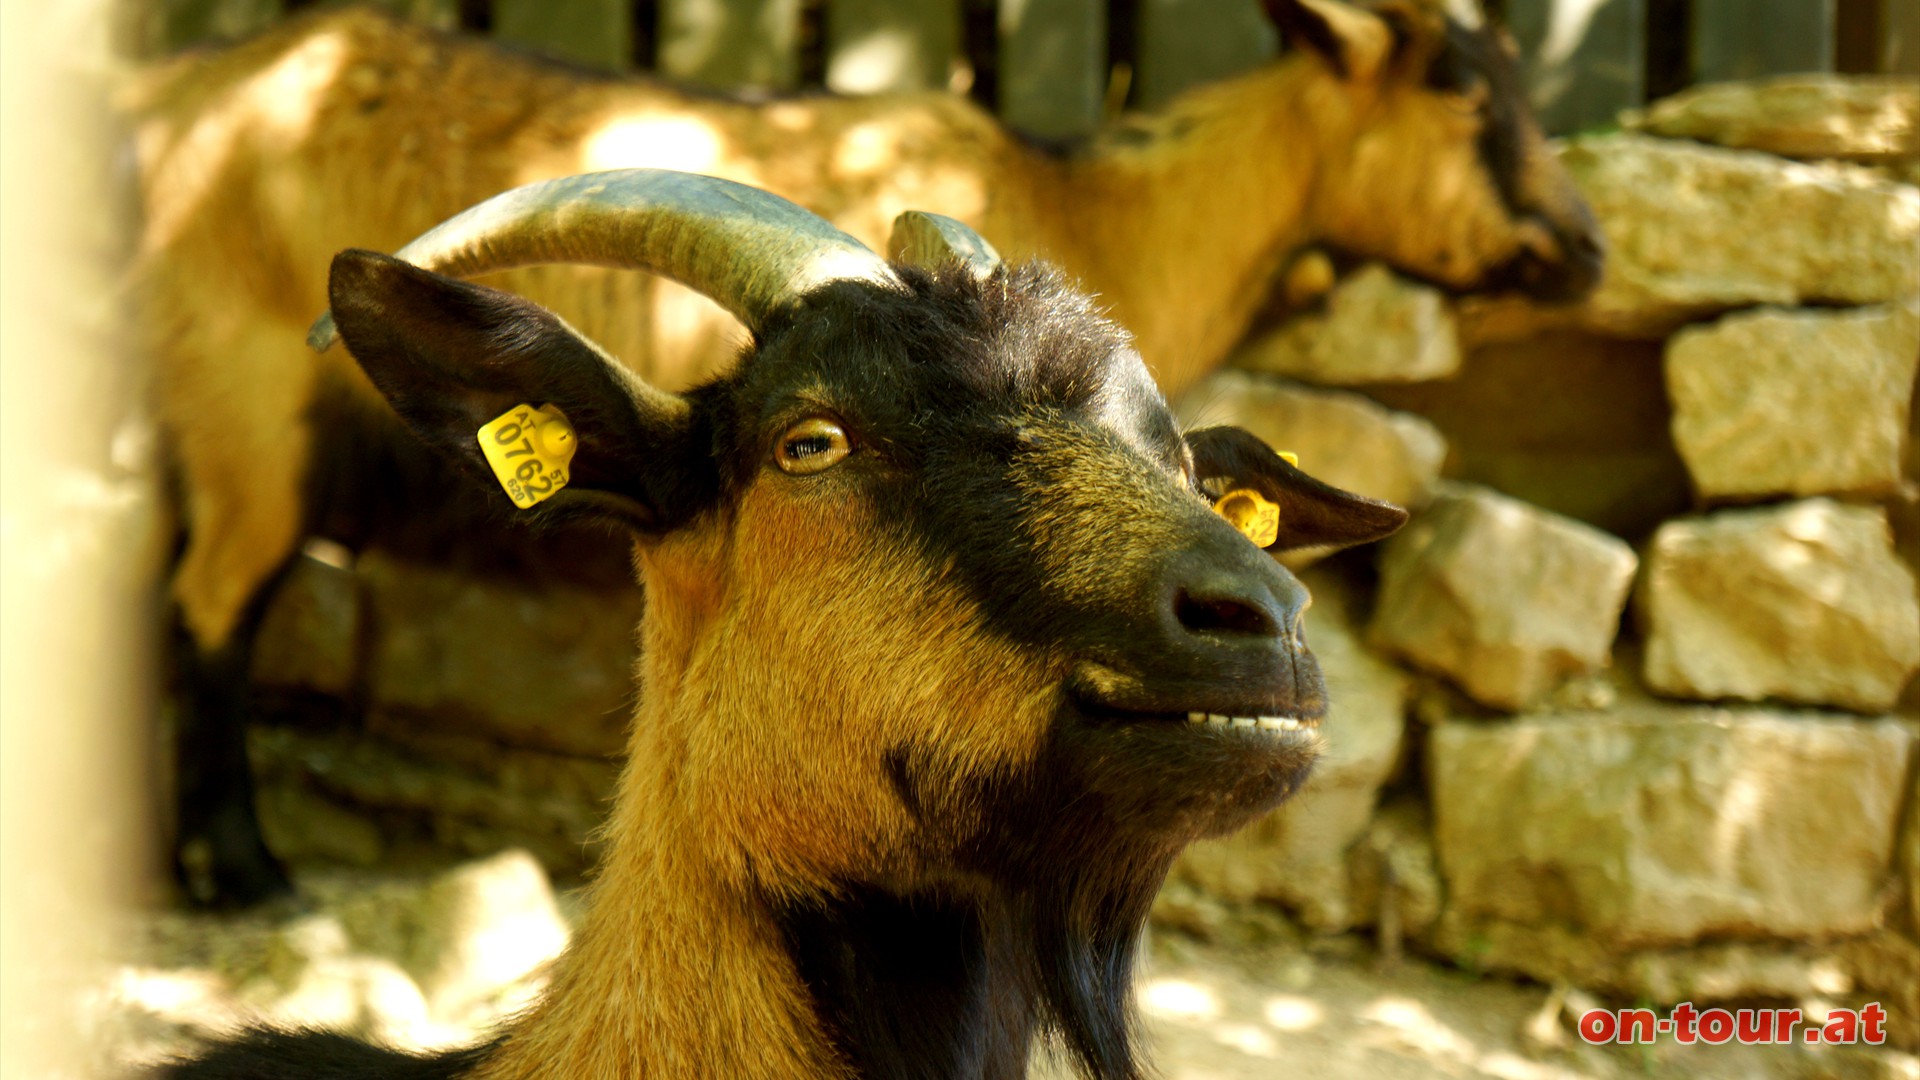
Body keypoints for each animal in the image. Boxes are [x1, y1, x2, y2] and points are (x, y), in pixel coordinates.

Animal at [127, 0, 1605, 907]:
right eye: (1460, 91)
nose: (1587, 247)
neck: (1100, 202)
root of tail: (179, 91)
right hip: (245, 399)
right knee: (211, 605)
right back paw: (241, 869)